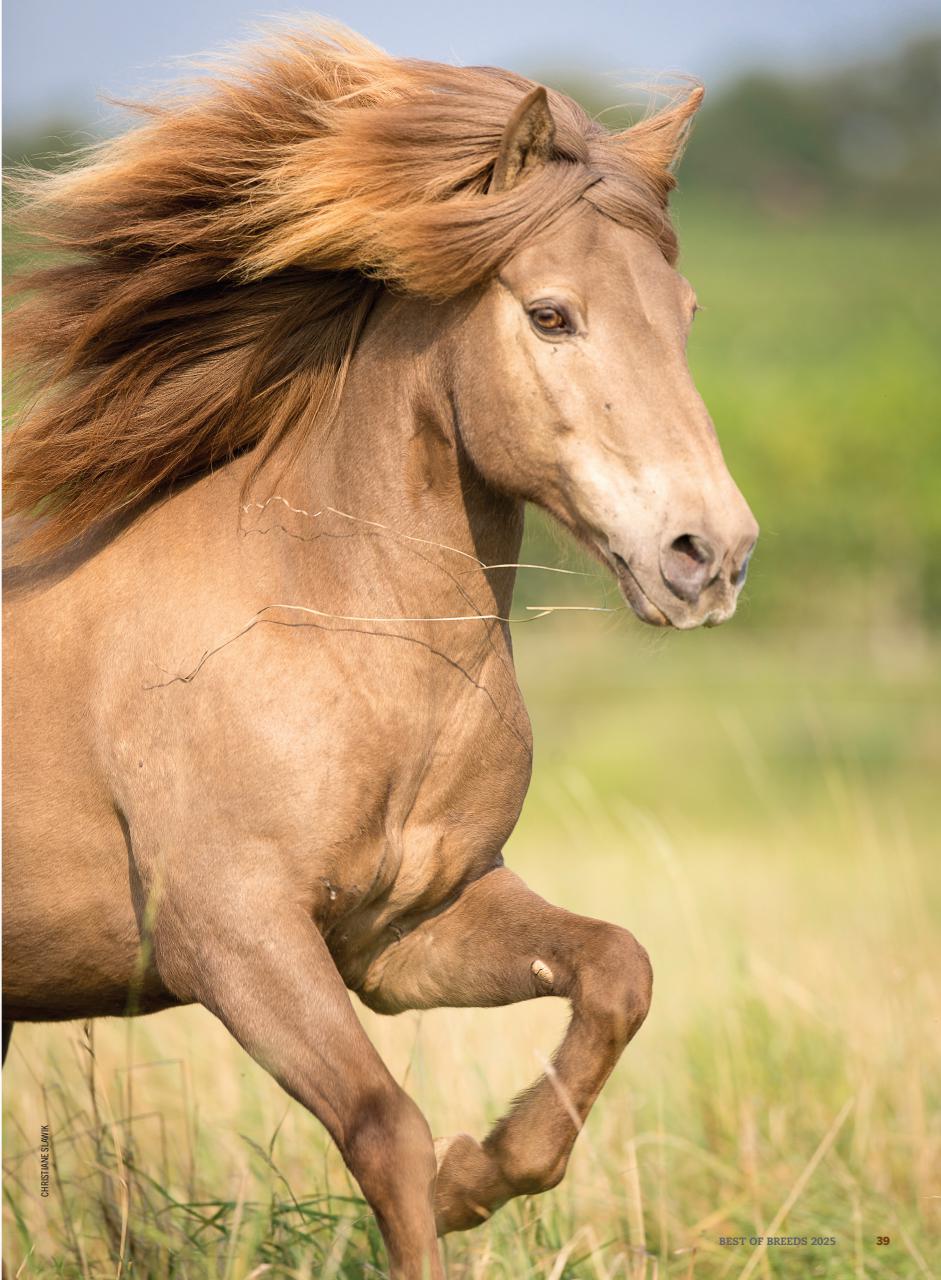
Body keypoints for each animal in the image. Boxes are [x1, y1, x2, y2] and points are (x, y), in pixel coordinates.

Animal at [3, 24, 758, 1278]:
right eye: (550, 315)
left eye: (687, 312)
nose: (708, 555)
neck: (339, 633)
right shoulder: (236, 938)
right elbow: (382, 1128)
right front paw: (449, 1181)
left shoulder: (401, 932)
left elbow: (616, 969)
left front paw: (482, 1170)